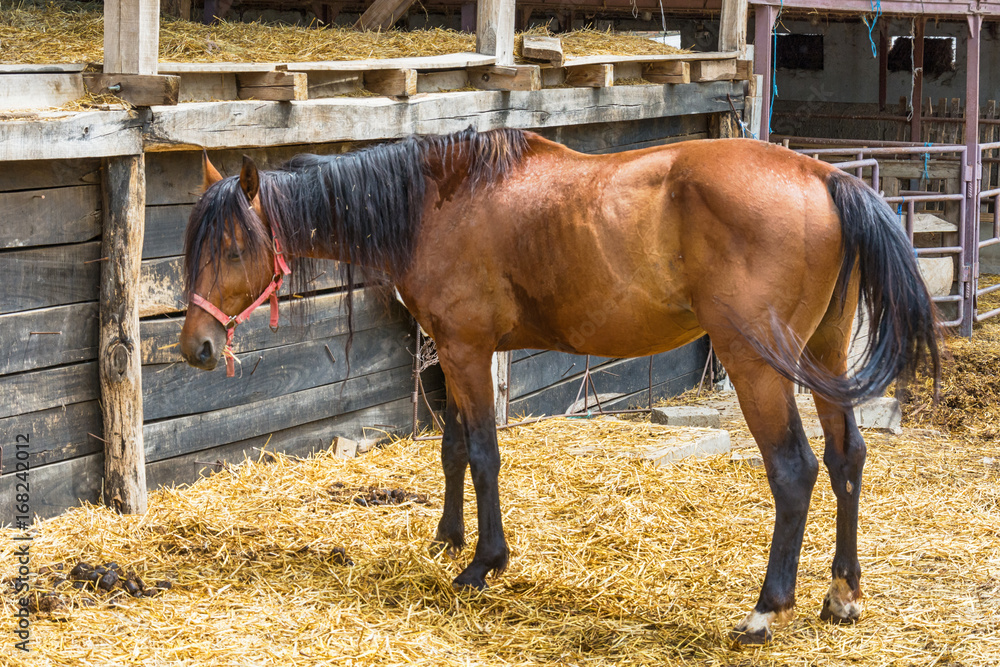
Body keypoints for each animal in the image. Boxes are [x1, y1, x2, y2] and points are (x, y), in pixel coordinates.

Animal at [179, 127, 939, 644]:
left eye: (234, 248)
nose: (197, 347)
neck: (436, 204)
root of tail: (823, 176)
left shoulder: (465, 351)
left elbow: (482, 453)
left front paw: (483, 563)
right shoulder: (452, 353)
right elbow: (452, 451)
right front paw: (447, 537)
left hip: (758, 366)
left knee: (794, 469)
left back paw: (765, 607)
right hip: (826, 354)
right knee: (846, 459)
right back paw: (842, 593)